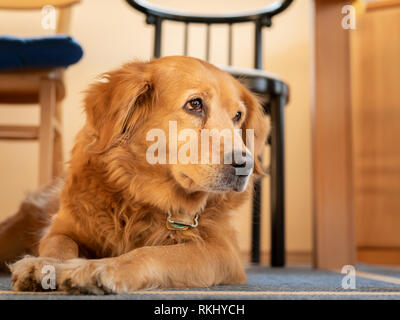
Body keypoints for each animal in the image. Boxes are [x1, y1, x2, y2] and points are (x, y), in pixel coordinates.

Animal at [1, 55, 268, 292]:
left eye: (237, 116)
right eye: (195, 104)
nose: (245, 164)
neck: (139, 194)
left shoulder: (222, 251)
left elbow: (150, 254)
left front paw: (96, 269)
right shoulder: (63, 228)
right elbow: (58, 244)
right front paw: (43, 265)